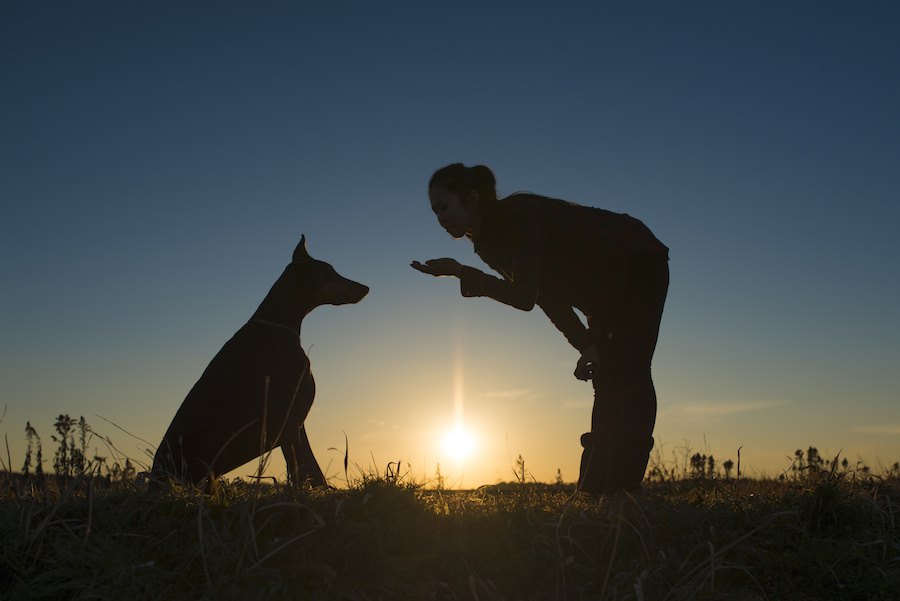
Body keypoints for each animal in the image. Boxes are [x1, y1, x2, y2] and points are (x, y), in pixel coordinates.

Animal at [151, 234, 370, 488]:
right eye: (331, 272)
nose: (366, 288)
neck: (279, 324)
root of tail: (154, 477)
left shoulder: (293, 422)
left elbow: (307, 469)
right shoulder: (291, 418)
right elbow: (306, 468)